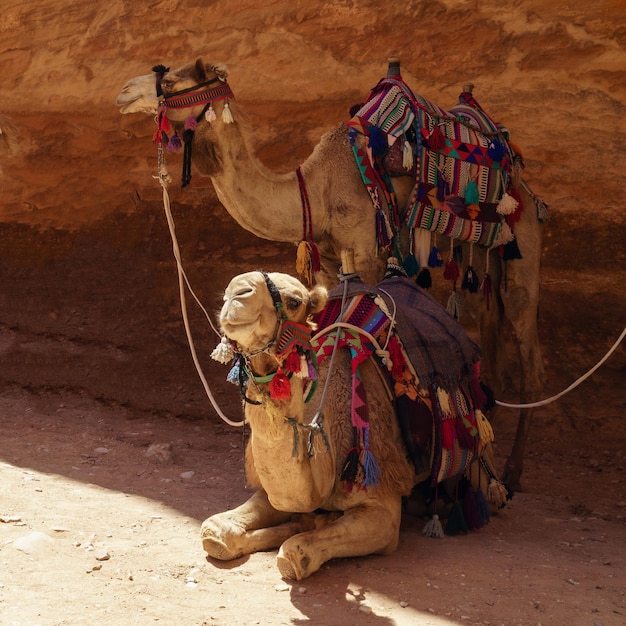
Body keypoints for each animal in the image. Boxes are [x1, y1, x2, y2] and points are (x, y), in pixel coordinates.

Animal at [205, 260, 508, 576]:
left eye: (294, 301)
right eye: (229, 290)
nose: (237, 293)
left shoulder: (381, 505)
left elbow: (295, 553)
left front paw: (307, 529)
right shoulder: (274, 493)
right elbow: (213, 531)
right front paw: (305, 520)